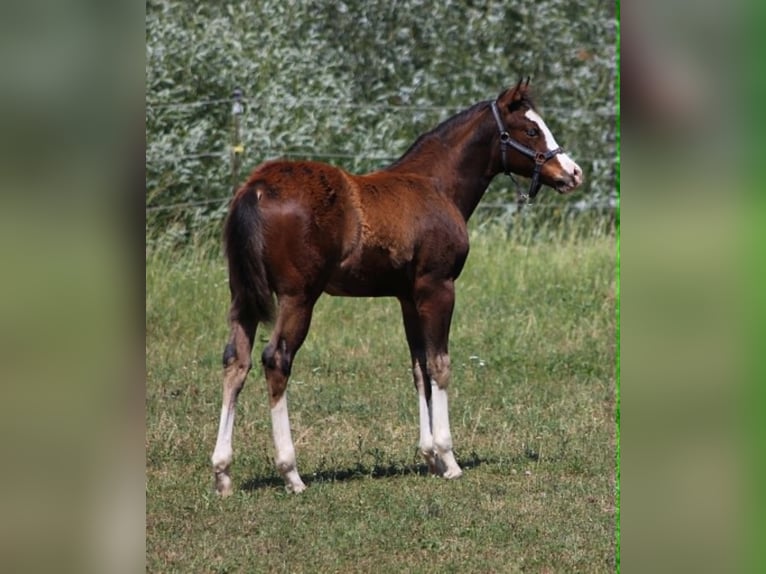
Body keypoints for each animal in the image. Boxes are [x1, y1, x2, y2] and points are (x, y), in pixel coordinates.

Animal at [211, 78, 583, 495]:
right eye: (531, 130)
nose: (573, 172)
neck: (436, 185)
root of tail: (257, 187)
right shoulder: (438, 287)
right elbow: (439, 364)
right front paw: (449, 458)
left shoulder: (408, 297)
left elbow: (418, 366)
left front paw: (429, 457)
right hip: (298, 297)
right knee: (276, 359)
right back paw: (291, 473)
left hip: (242, 296)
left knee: (236, 360)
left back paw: (223, 472)